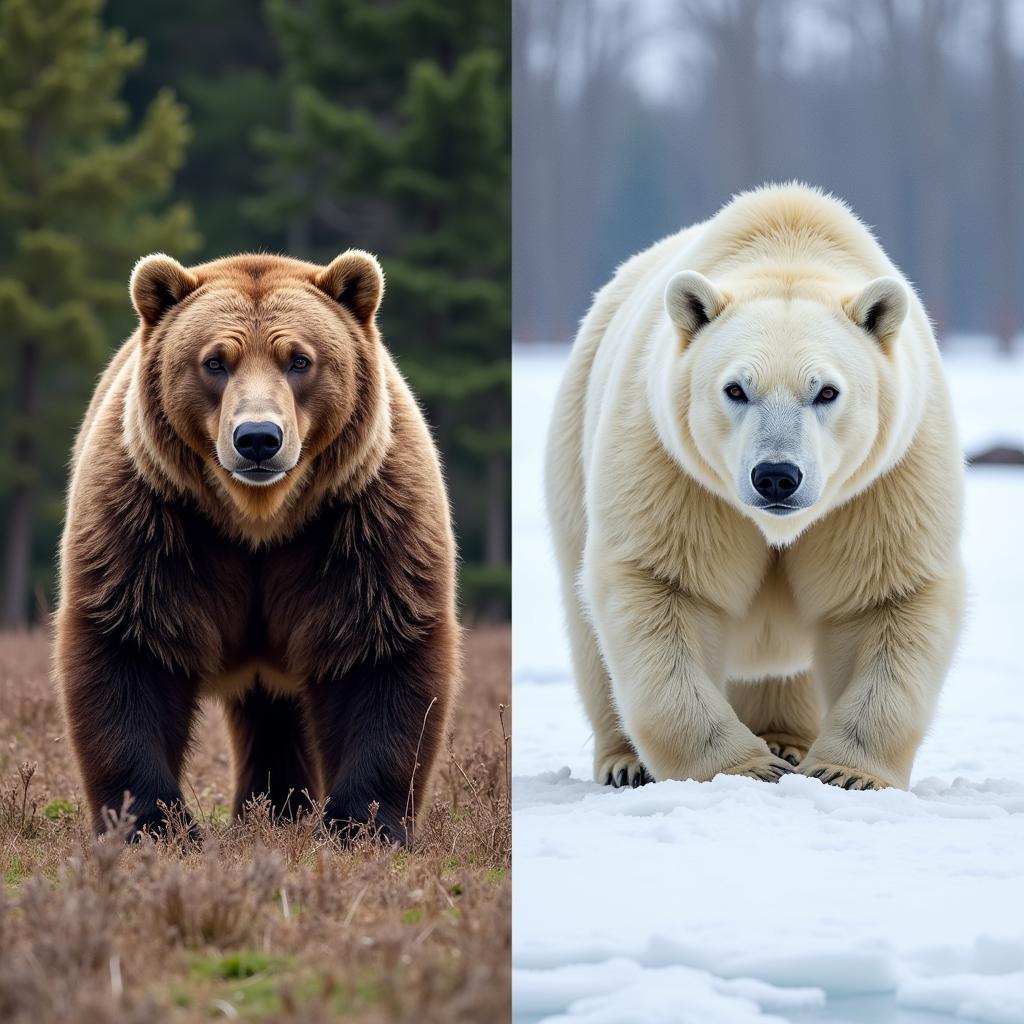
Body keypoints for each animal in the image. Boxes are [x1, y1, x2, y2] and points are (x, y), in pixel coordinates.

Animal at [54, 247, 458, 839]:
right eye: (215, 361)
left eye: (300, 360)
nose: (259, 438)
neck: (258, 519)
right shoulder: (151, 520)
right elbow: (130, 649)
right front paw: (152, 823)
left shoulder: (363, 523)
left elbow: (377, 649)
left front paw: (361, 824)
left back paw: (280, 809)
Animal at [548, 184, 962, 790]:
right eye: (736, 389)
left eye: (826, 391)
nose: (776, 476)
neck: (788, 246)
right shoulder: (671, 466)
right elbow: (663, 586)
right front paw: (744, 769)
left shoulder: (887, 478)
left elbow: (885, 595)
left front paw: (843, 773)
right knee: (588, 630)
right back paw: (627, 762)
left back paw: (785, 739)